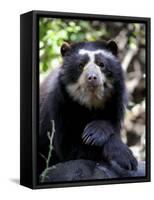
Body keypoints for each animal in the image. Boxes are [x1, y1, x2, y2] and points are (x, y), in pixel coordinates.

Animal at [39, 39, 138, 176]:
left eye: (101, 64)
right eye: (80, 65)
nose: (92, 78)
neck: (90, 102)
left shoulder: (115, 103)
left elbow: (110, 124)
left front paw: (94, 133)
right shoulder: (59, 107)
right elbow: (69, 148)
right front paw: (127, 158)